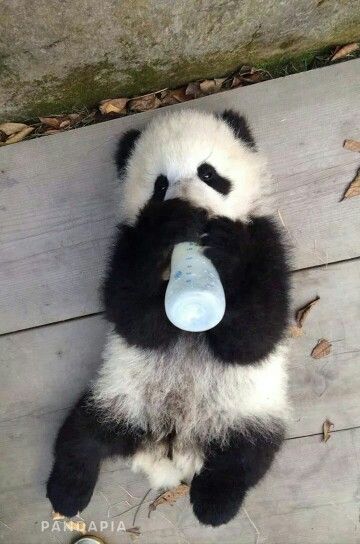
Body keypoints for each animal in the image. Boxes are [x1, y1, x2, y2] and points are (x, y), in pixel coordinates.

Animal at [47, 107, 290, 528]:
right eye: (160, 185)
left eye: (208, 173)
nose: (190, 209)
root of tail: (172, 444)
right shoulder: (127, 245)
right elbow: (136, 321)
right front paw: (167, 228)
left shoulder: (265, 238)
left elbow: (256, 335)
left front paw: (226, 248)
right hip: (116, 397)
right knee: (82, 436)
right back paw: (67, 492)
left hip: (248, 412)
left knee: (244, 459)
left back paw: (214, 504)